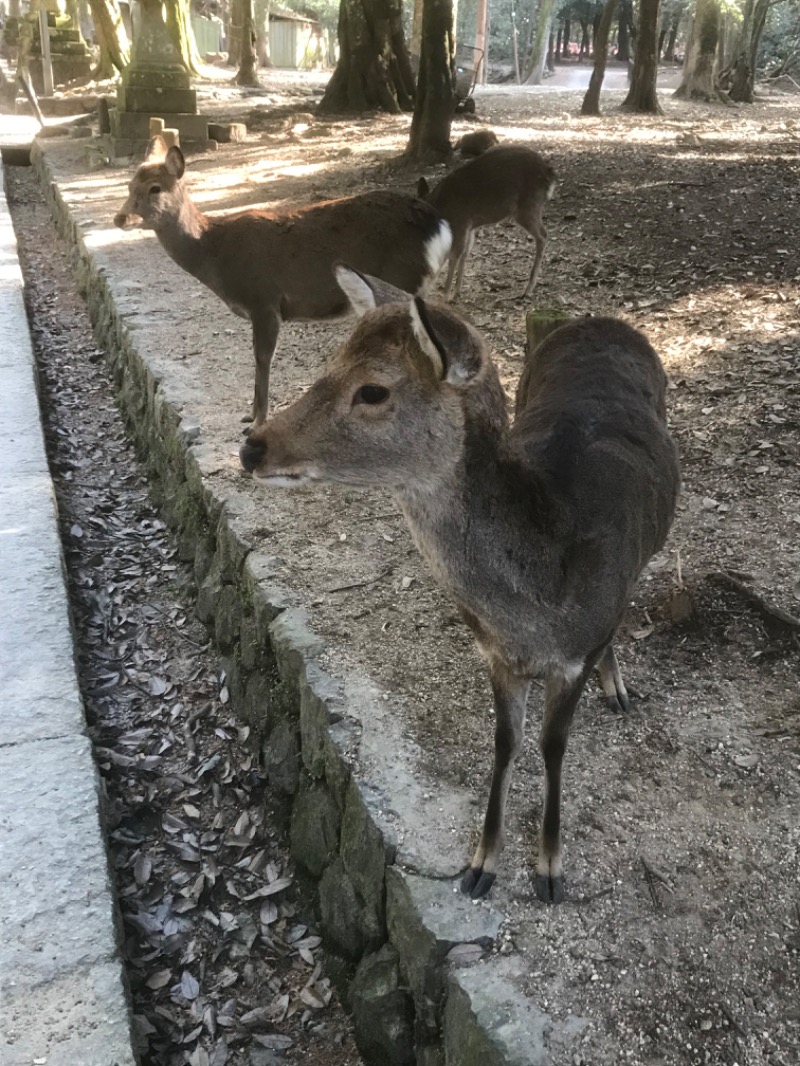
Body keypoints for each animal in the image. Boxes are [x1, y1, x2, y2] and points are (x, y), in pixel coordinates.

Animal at [113, 137, 454, 424]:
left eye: (155, 188)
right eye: (129, 185)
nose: (119, 218)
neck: (216, 254)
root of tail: (440, 226)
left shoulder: (264, 300)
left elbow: (263, 357)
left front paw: (258, 420)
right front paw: (249, 416)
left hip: (403, 278)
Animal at [240, 264, 682, 899]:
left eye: (373, 390)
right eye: (329, 362)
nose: (252, 446)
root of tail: (604, 319)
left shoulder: (574, 651)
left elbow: (553, 746)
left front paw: (550, 871)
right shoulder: (495, 654)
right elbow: (505, 742)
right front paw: (480, 865)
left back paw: (617, 686)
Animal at [420, 143, 558, 302]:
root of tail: (549, 173)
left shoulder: (460, 222)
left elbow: (454, 255)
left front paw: (444, 296)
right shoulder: (470, 227)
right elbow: (465, 253)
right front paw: (456, 293)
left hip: (527, 207)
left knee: (543, 235)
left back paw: (527, 289)